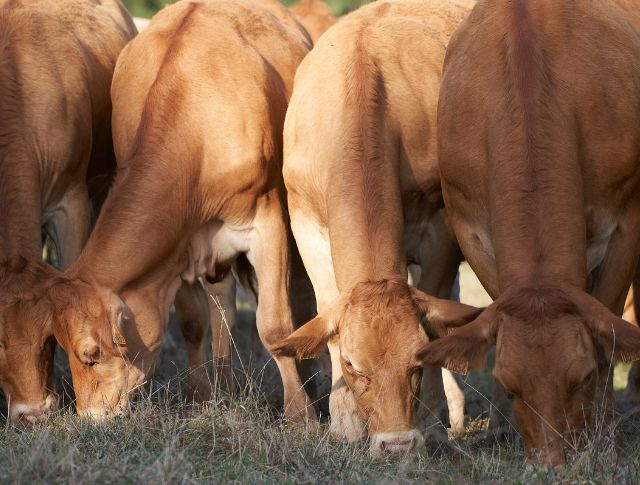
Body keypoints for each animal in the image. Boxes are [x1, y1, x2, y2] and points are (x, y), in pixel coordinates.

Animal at [41, 0, 316, 422]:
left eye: (91, 354)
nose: (88, 418)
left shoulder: (266, 224)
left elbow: (273, 325)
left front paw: (302, 415)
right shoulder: (179, 246)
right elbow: (192, 320)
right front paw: (200, 397)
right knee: (222, 305)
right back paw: (224, 385)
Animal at [273, 0, 479, 454]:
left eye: (417, 360)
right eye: (353, 365)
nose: (397, 444)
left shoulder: (440, 229)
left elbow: (437, 308)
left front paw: (433, 422)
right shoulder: (305, 225)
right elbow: (327, 309)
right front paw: (344, 423)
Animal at [418, 0, 640, 468]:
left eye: (581, 377)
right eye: (509, 386)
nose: (550, 463)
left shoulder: (626, 221)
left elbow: (610, 332)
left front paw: (606, 433)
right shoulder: (470, 228)